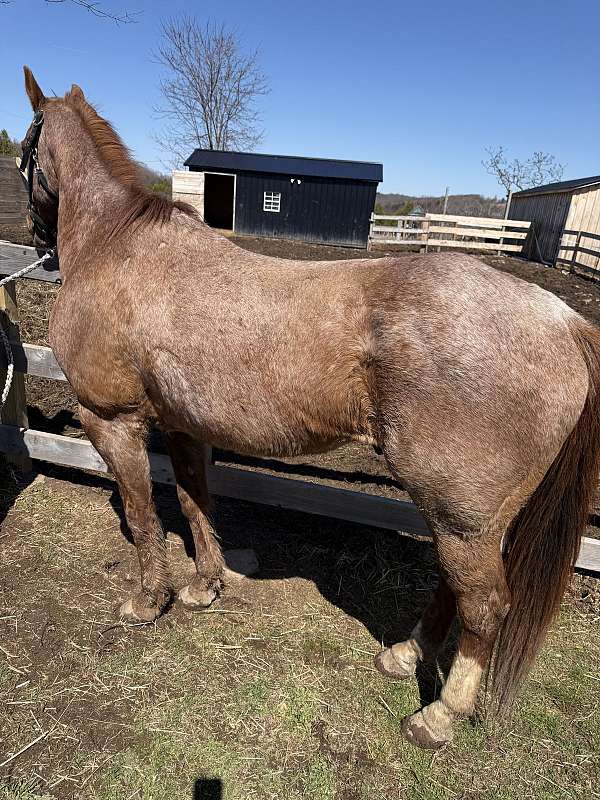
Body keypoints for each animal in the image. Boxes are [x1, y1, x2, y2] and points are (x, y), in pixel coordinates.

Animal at [19, 66, 600, 750]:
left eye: (26, 146)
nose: (36, 236)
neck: (117, 247)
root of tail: (564, 322)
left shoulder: (110, 421)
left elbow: (141, 515)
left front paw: (147, 601)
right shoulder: (183, 426)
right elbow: (194, 502)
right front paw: (205, 587)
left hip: (463, 515)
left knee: (484, 605)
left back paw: (440, 715)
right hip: (470, 517)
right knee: (452, 589)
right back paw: (405, 655)